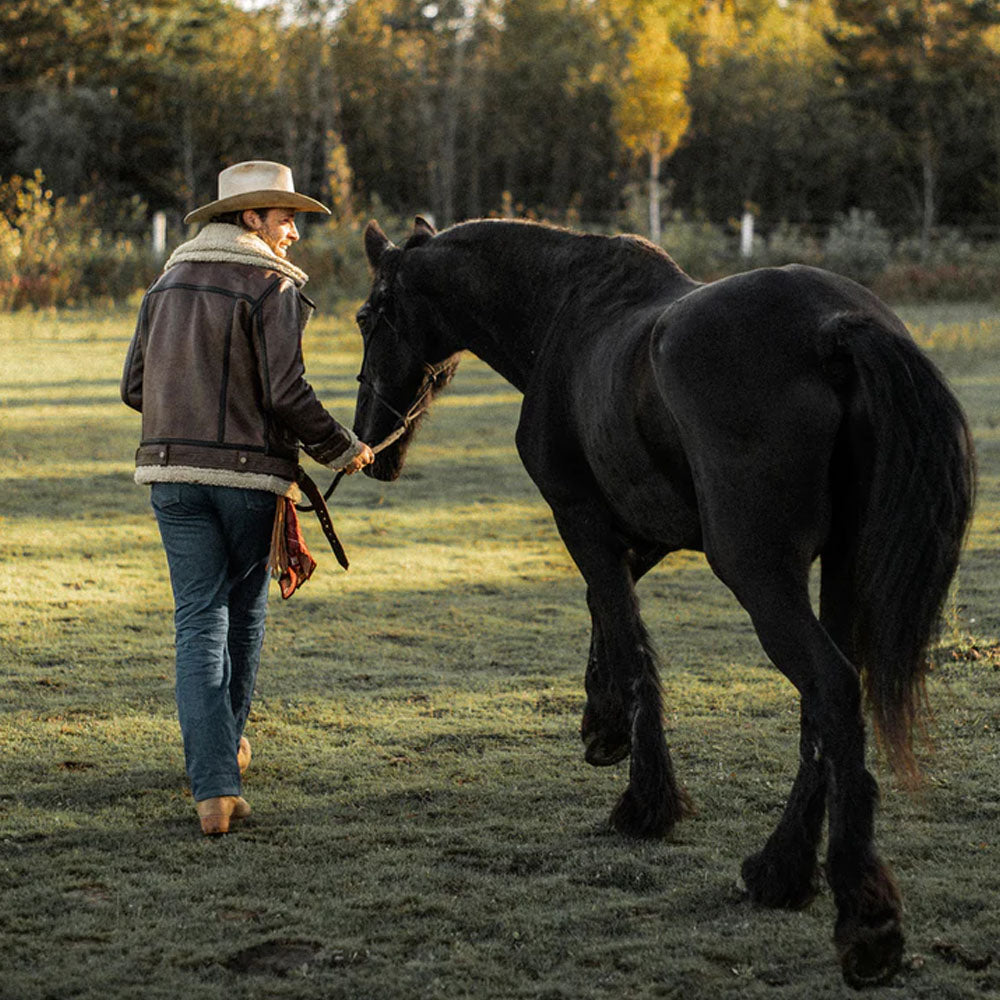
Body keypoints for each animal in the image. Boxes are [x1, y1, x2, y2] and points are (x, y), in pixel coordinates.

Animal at [352, 215, 976, 988]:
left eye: (368, 317)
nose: (367, 442)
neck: (567, 312)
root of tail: (834, 327)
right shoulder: (648, 529)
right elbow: (608, 612)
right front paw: (603, 725)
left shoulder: (582, 517)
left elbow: (623, 630)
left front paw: (645, 799)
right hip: (837, 567)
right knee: (825, 707)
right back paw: (780, 871)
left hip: (759, 574)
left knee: (830, 688)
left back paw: (864, 921)